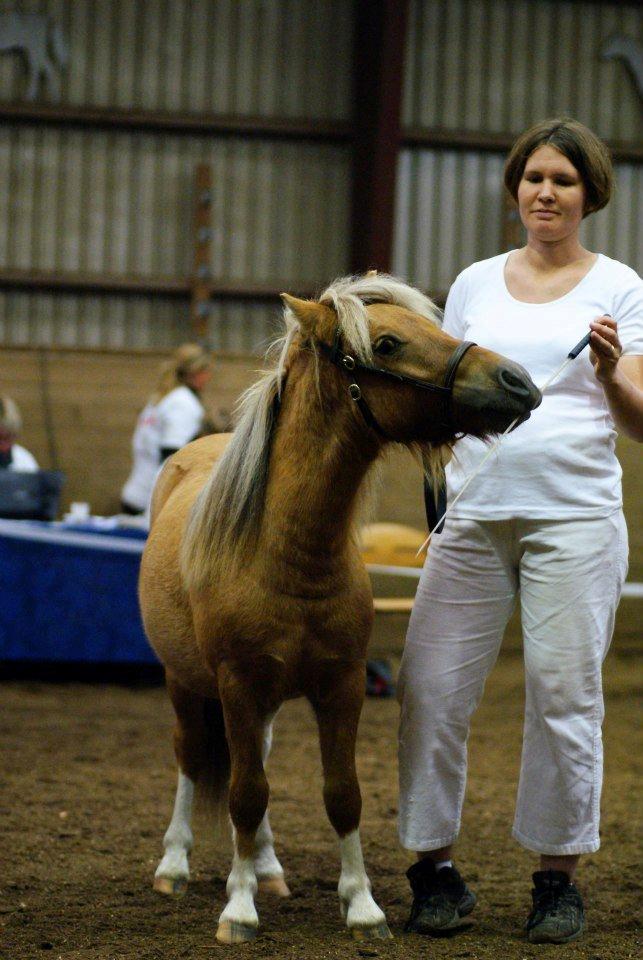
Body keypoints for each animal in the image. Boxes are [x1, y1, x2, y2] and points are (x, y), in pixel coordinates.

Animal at [140, 272, 540, 944]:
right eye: (386, 343)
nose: (519, 381)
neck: (289, 555)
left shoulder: (342, 684)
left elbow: (340, 792)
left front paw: (361, 904)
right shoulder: (238, 684)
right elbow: (243, 793)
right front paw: (239, 909)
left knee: (256, 763)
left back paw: (268, 868)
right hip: (186, 681)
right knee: (191, 758)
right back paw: (175, 866)